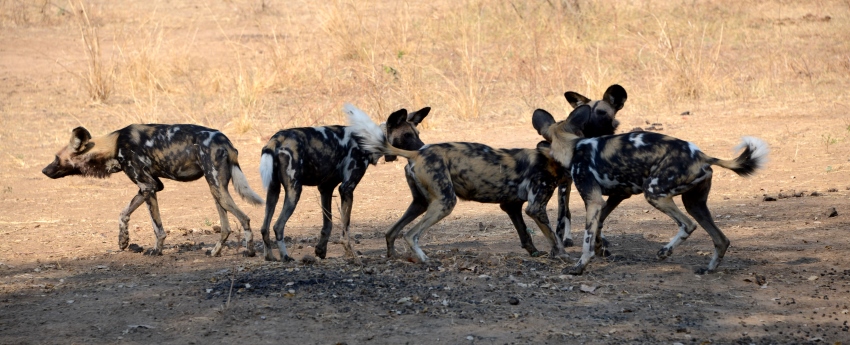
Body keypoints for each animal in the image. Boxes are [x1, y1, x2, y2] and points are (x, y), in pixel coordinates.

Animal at [42, 123, 262, 255]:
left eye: (56, 158)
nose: (44, 170)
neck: (114, 145)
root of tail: (226, 141)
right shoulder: (151, 186)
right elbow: (123, 214)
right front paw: (123, 241)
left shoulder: (149, 186)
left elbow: (158, 229)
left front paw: (156, 250)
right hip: (216, 190)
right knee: (226, 227)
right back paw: (215, 252)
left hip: (218, 190)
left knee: (245, 219)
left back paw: (250, 251)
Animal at [256, 105, 430, 260]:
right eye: (407, 135)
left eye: (418, 133)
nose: (423, 148)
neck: (371, 140)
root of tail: (277, 139)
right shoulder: (346, 189)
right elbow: (345, 228)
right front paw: (350, 254)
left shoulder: (326, 189)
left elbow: (328, 225)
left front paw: (321, 250)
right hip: (294, 191)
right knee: (278, 226)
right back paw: (285, 257)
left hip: (273, 191)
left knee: (264, 227)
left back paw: (270, 256)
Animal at [344, 102, 576, 260]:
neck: (551, 157)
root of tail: (416, 153)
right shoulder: (535, 208)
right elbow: (554, 236)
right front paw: (562, 256)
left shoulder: (511, 206)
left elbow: (526, 235)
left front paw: (535, 252)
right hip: (445, 203)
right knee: (411, 235)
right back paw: (424, 259)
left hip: (420, 204)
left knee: (391, 232)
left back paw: (397, 258)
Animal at [532, 105, 764, 274]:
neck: (571, 146)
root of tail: (702, 155)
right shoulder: (616, 196)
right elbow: (599, 226)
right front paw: (600, 248)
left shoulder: (594, 200)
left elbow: (587, 238)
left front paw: (580, 266)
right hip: (694, 204)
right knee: (721, 239)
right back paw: (709, 269)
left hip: (654, 193)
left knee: (688, 225)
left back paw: (665, 251)